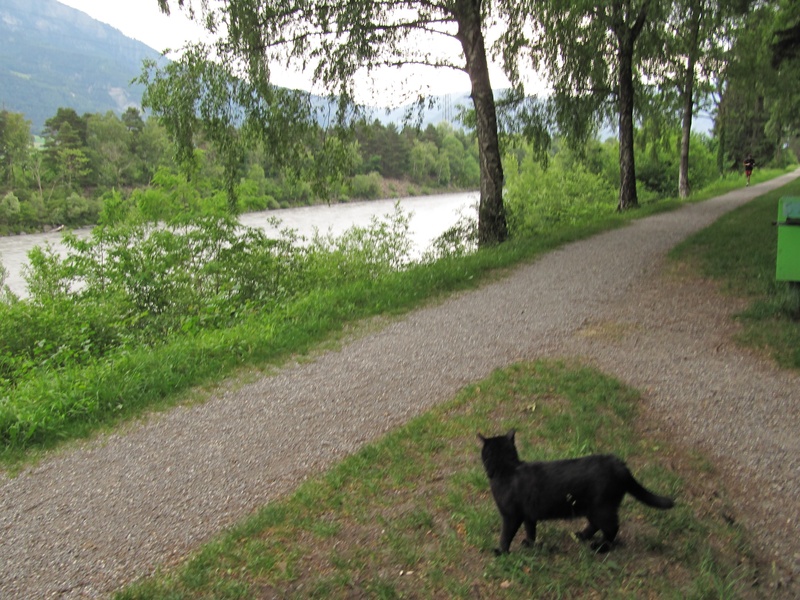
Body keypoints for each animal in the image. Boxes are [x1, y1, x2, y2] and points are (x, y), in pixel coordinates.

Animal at [478, 432, 672, 552]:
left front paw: (501, 552)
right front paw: (530, 544)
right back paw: (582, 536)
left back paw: (600, 548)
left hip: (601, 508)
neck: (507, 469)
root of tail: (619, 465)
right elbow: (530, 530)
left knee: (612, 528)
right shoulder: (528, 515)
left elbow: (505, 535)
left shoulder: (511, 516)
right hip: (592, 509)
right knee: (596, 525)